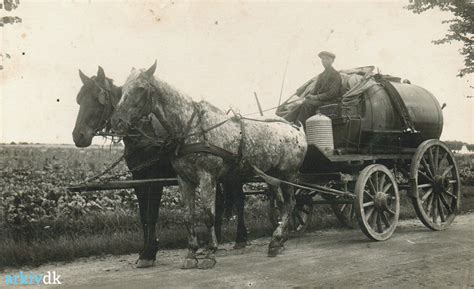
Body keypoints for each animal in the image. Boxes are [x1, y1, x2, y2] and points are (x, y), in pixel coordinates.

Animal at [73, 66, 248, 268]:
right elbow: (143, 215)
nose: (78, 136)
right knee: (219, 202)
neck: (145, 134)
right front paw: (145, 251)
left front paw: (149, 253)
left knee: (239, 200)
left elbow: (151, 214)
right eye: (79, 99)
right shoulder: (139, 177)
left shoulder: (155, 178)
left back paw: (240, 238)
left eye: (98, 98)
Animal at [111, 61, 308, 268]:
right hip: (271, 176)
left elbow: (209, 214)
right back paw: (277, 241)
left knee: (291, 204)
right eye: (122, 89)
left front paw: (210, 252)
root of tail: (295, 129)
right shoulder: (184, 180)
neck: (191, 128)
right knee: (282, 204)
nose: (117, 122)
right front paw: (191, 254)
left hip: (288, 175)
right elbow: (188, 216)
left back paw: (276, 239)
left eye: (141, 88)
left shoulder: (207, 177)